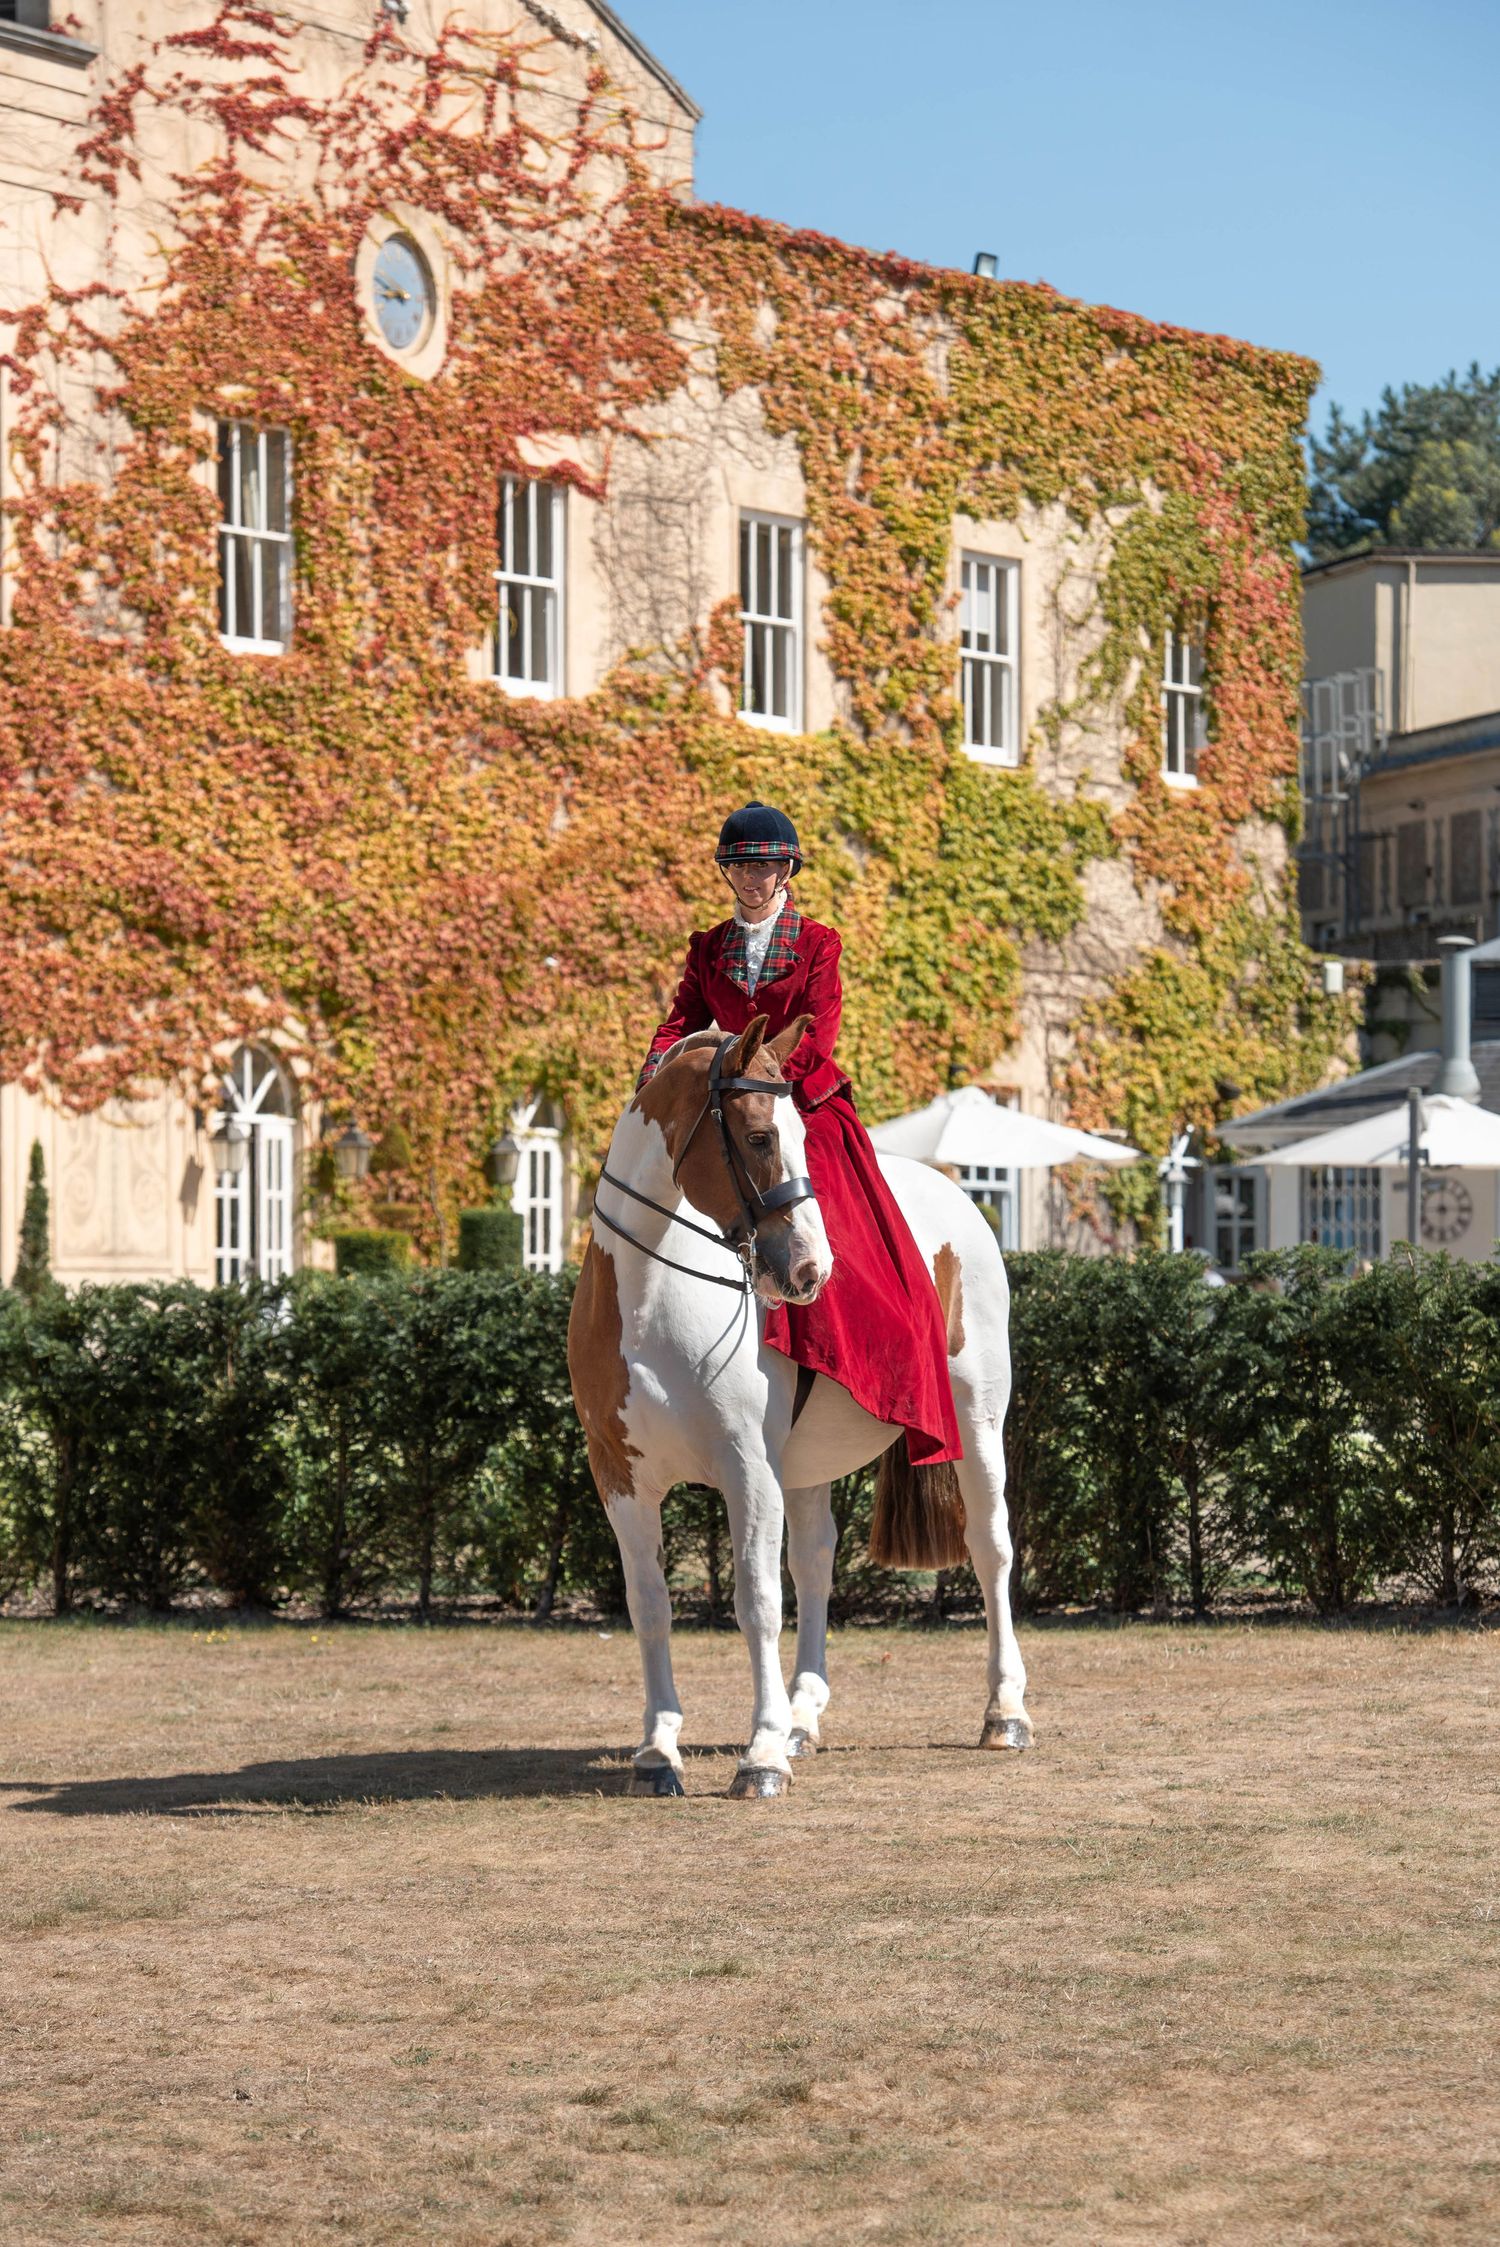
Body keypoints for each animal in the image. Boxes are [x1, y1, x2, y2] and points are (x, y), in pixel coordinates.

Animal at [566, 1014, 1034, 1797]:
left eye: (802, 1135)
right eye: (758, 1137)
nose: (813, 1269)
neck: (653, 1296)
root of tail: (956, 1193)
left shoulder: (748, 1470)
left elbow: (756, 1600)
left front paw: (760, 1755)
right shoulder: (620, 1477)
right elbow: (649, 1604)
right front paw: (659, 1749)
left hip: (977, 1422)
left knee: (990, 1547)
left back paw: (1005, 1713)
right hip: (807, 1463)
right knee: (816, 1560)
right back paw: (802, 1715)